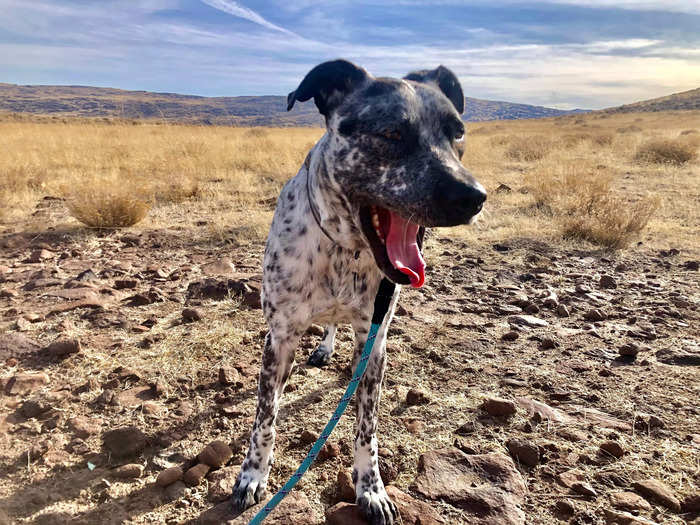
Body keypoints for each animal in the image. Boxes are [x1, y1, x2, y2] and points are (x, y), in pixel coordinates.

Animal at [232, 58, 484, 524]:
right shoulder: (279, 338)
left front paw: (371, 489)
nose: (473, 197)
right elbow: (265, 417)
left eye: (457, 132)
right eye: (391, 133)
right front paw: (253, 473)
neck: (344, 249)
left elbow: (367, 428)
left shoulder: (374, 341)